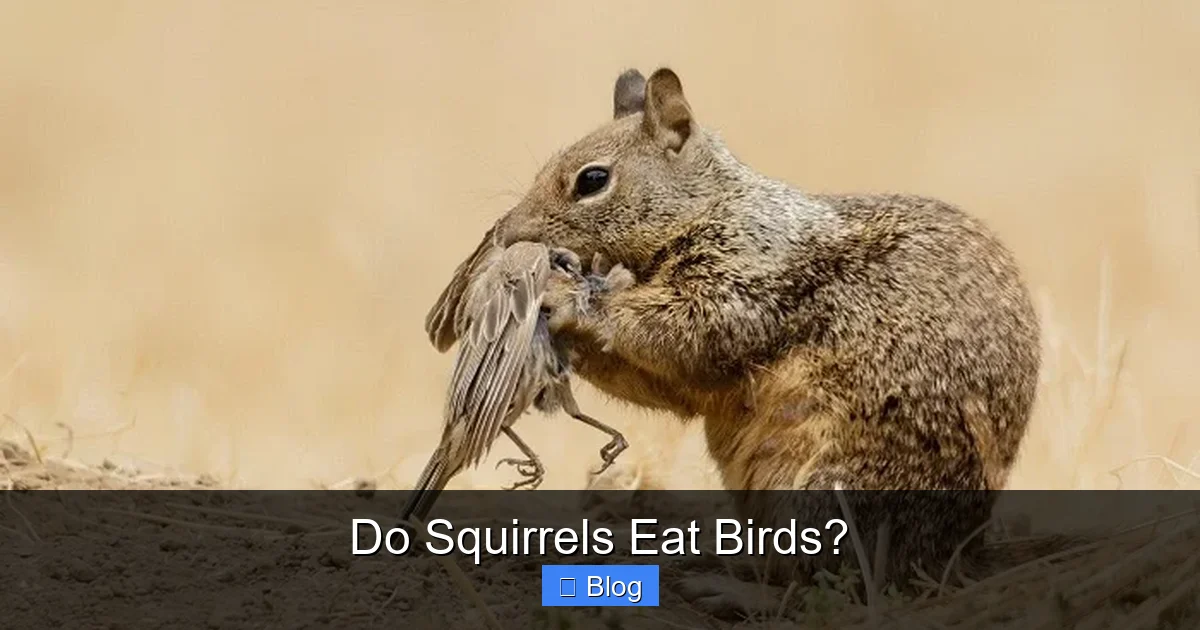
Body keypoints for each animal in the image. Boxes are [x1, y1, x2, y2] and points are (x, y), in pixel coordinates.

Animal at [427, 67, 1043, 615]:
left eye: (592, 180)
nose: (507, 233)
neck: (711, 209)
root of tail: (949, 557)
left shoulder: (747, 282)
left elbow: (685, 329)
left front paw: (566, 295)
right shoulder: (694, 376)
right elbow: (663, 381)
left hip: (831, 493)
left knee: (835, 589)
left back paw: (730, 591)